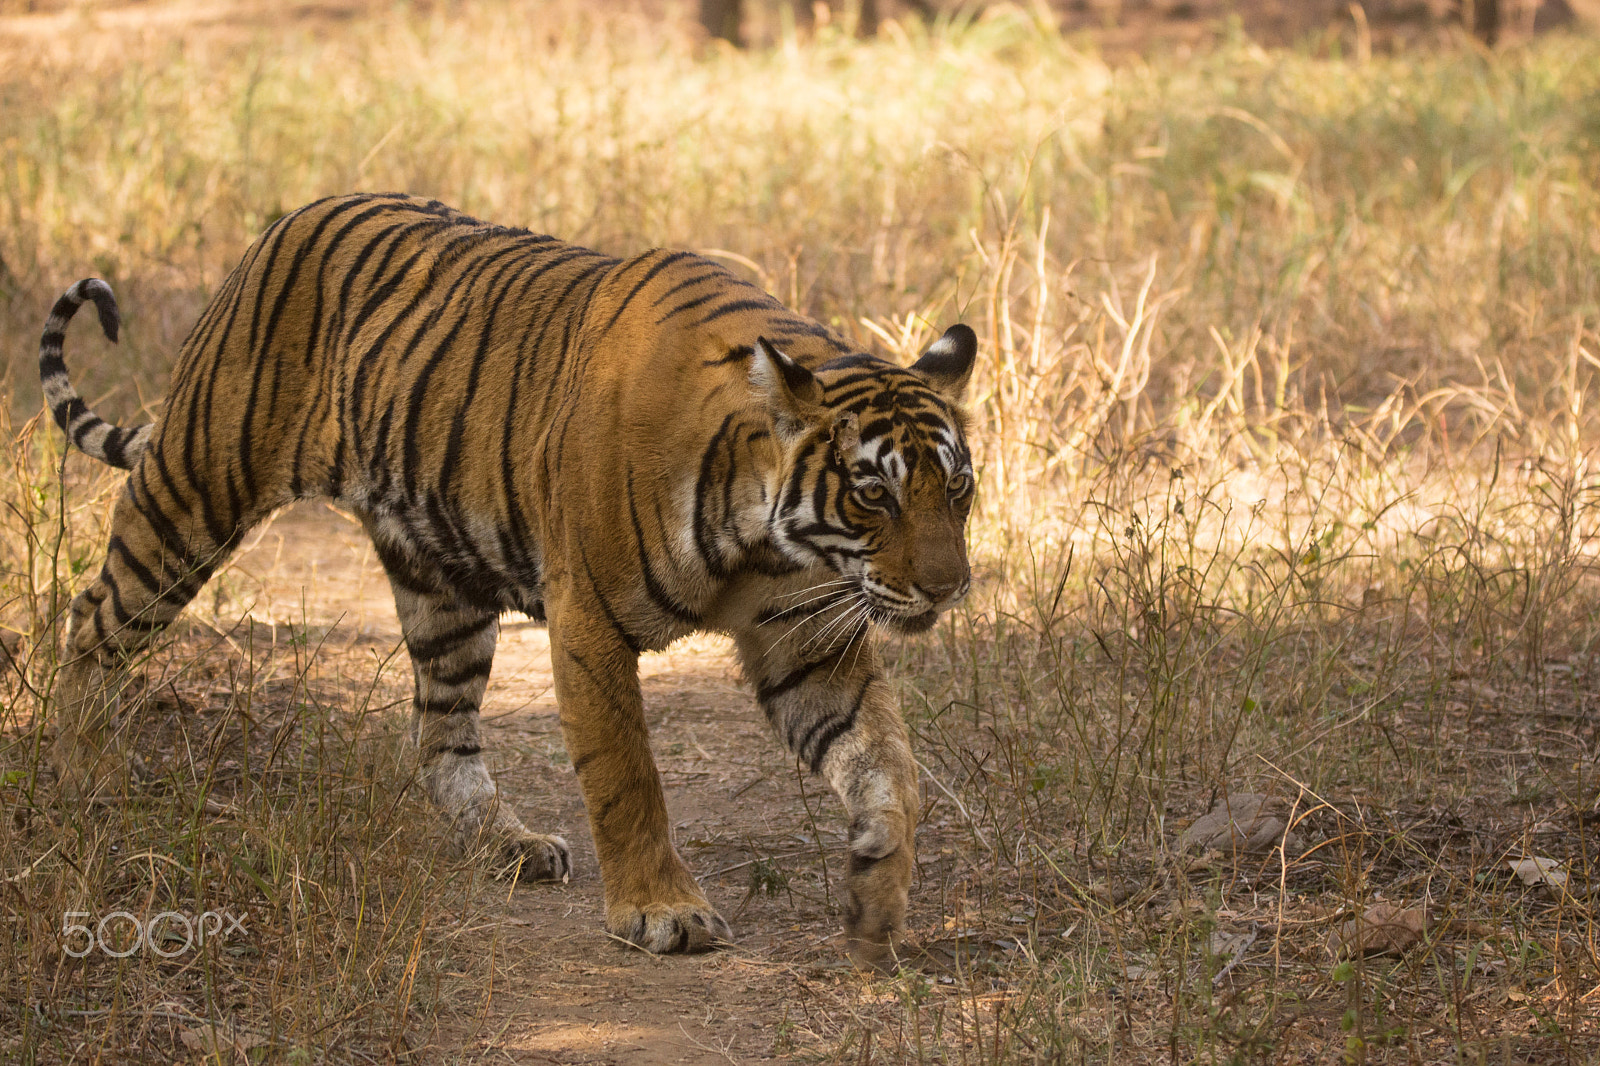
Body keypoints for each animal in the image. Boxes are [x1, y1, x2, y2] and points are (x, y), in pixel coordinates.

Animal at [40, 191, 972, 960]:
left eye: (956, 488)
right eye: (874, 493)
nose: (948, 588)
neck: (764, 537)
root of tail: (287, 220)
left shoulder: (807, 644)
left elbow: (890, 768)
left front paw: (877, 901)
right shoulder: (591, 619)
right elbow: (626, 774)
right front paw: (661, 911)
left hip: (441, 584)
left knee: (441, 730)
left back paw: (507, 843)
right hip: (194, 492)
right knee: (92, 621)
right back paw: (76, 768)